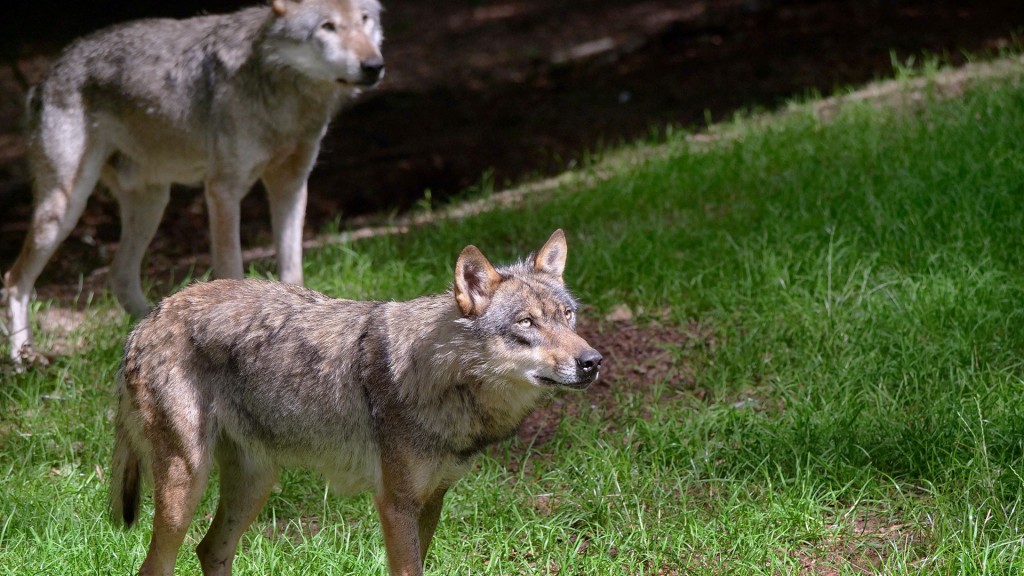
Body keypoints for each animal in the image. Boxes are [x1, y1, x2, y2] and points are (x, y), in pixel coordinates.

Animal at [3, 0, 385, 360]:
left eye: (364, 19)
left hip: (153, 204)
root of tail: (45, 76)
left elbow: (293, 273)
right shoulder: (223, 190)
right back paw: (23, 358)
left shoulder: (291, 186)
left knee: (120, 276)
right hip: (64, 208)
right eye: (327, 26)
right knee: (15, 281)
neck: (282, 89)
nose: (374, 65)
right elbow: (232, 269)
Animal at [110, 229, 606, 573]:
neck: (441, 378)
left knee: (210, 550)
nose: (592, 362)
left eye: (567, 316)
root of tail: (146, 321)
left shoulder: (432, 500)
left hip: (255, 483)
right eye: (526, 323)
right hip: (186, 485)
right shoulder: (395, 504)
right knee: (155, 566)